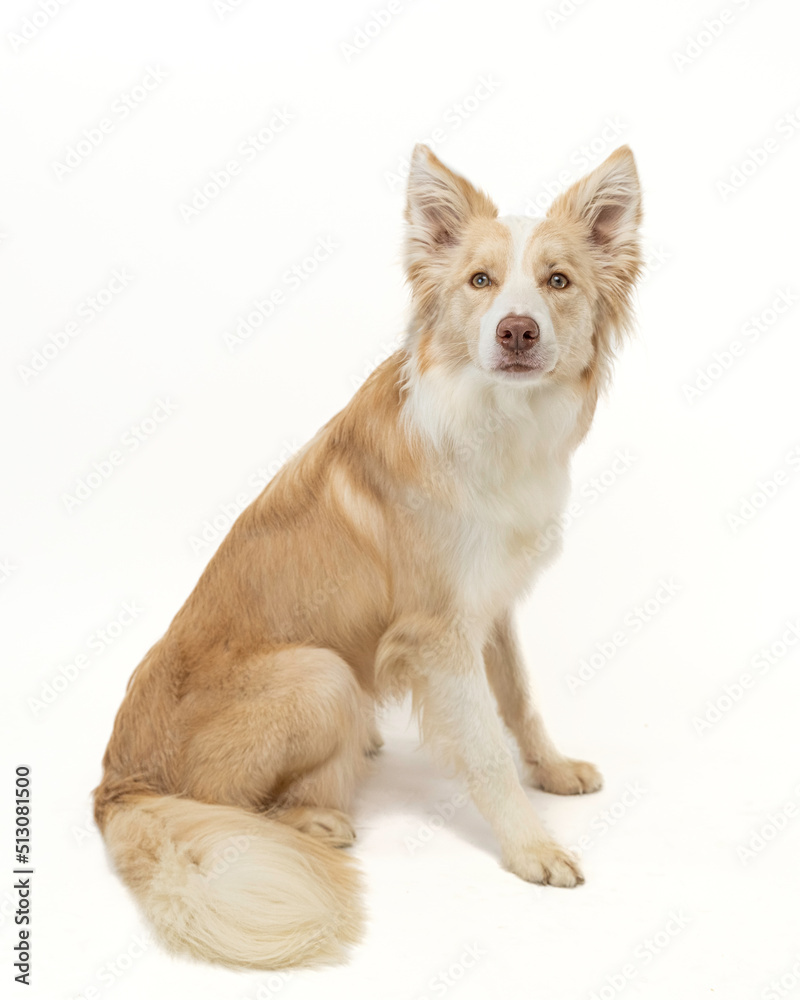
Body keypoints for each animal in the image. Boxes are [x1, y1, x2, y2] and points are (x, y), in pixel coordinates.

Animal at [94, 143, 644, 968]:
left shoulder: (491, 604)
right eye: (480, 282)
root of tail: (114, 784)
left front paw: (550, 771)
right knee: (218, 805)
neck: (496, 418)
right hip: (318, 674)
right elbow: (485, 748)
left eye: (558, 281)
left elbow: (517, 700)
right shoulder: (438, 632)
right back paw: (314, 817)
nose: (516, 331)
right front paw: (530, 848)